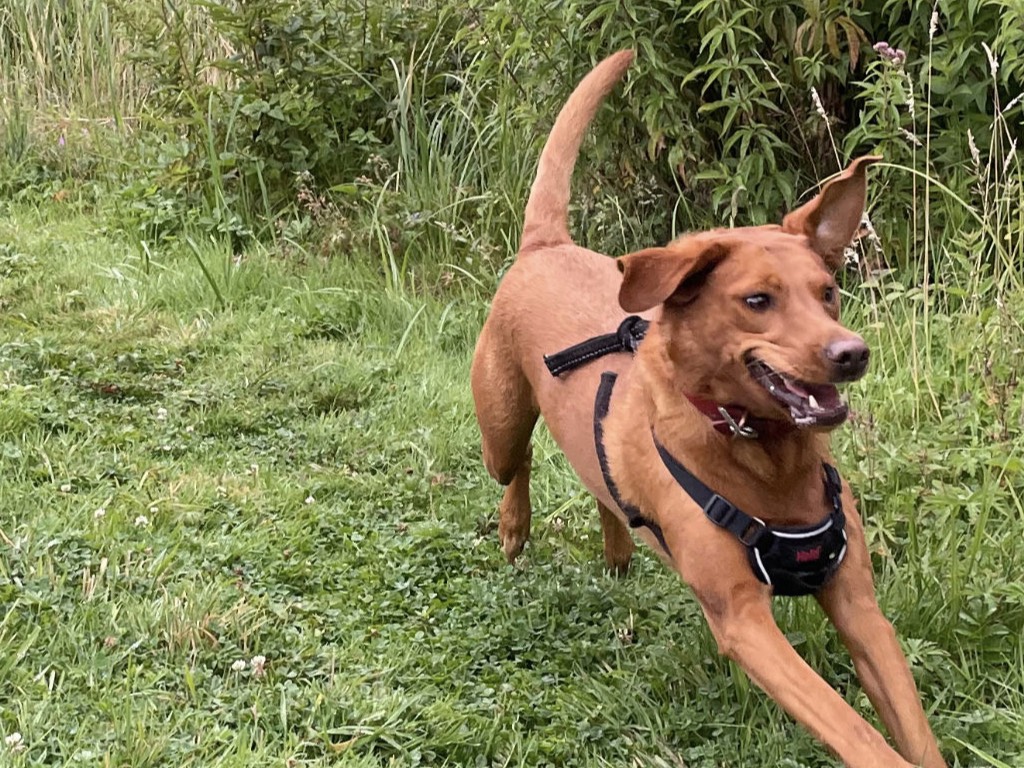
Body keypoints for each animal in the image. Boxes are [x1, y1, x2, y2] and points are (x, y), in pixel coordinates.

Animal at [468, 51, 942, 765]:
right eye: (757, 301)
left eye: (827, 291)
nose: (852, 353)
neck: (765, 456)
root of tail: (546, 246)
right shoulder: (744, 619)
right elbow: (856, 731)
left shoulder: (859, 604)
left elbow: (914, 731)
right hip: (498, 425)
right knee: (516, 463)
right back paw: (514, 527)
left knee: (600, 486)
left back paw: (617, 550)